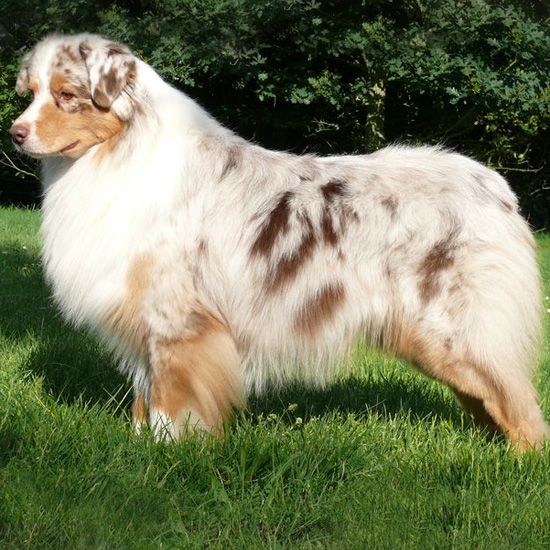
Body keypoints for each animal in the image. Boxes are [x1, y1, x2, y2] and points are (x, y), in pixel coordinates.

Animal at [9, 33, 550, 448]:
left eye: (66, 96)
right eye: (29, 93)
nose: (15, 133)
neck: (120, 153)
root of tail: (495, 186)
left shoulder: (177, 318)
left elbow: (169, 399)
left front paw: (166, 454)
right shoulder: (146, 320)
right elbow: (145, 393)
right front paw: (139, 449)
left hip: (456, 330)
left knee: (519, 406)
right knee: (490, 401)